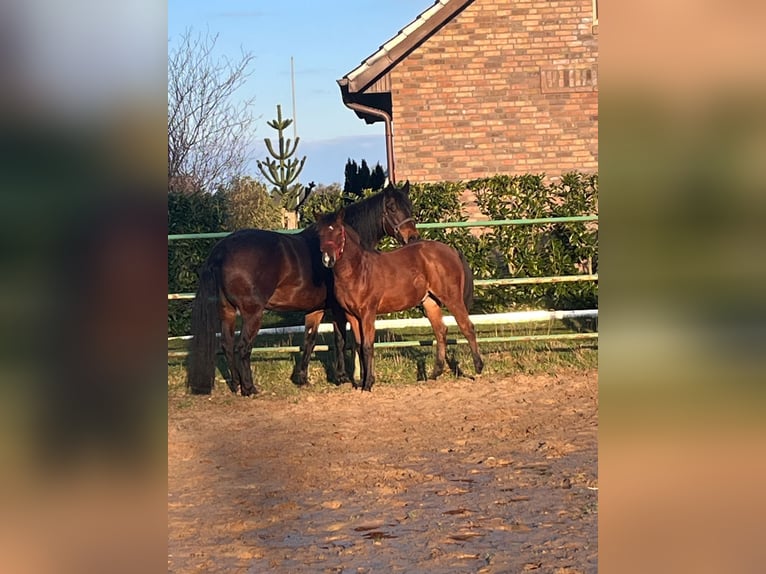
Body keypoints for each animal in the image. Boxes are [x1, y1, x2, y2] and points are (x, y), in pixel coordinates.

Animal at [186, 182, 420, 396]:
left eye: (409, 205)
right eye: (391, 207)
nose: (412, 237)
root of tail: (222, 248)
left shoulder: (315, 309)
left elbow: (309, 340)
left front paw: (302, 378)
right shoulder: (338, 309)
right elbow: (340, 340)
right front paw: (342, 377)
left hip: (226, 310)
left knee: (227, 345)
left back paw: (235, 385)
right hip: (252, 313)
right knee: (242, 347)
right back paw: (249, 388)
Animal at [316, 208, 484, 392]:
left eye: (339, 233)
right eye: (320, 234)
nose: (327, 260)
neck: (357, 270)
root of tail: (452, 251)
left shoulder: (368, 313)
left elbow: (367, 346)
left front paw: (368, 384)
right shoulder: (351, 315)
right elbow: (359, 346)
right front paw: (362, 382)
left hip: (452, 298)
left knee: (467, 327)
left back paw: (478, 369)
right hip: (430, 302)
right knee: (441, 331)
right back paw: (434, 374)